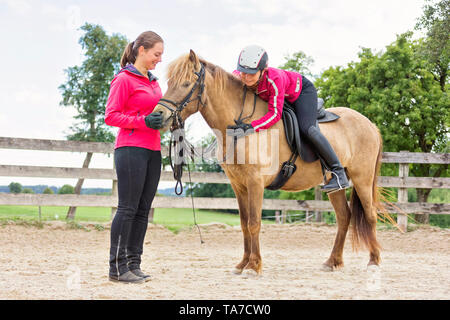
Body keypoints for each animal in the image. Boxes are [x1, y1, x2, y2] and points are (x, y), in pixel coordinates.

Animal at [154, 50, 384, 276]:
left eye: (185, 84)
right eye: (169, 82)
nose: (158, 115)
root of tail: (370, 124)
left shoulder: (255, 182)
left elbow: (254, 223)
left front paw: (253, 266)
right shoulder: (239, 186)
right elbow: (244, 224)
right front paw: (242, 264)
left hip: (362, 179)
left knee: (371, 215)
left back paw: (373, 261)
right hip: (332, 186)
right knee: (344, 217)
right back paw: (332, 261)